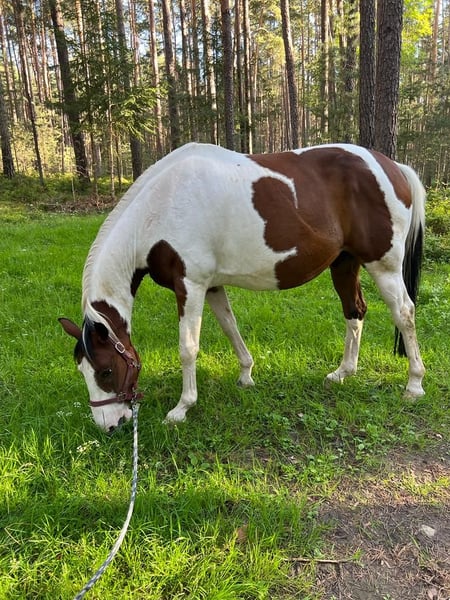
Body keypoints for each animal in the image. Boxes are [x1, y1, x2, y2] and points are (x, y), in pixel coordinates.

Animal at [59, 142, 426, 433]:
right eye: (81, 370)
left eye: (106, 370)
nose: (109, 426)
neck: (162, 207)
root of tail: (394, 168)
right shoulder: (211, 286)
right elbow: (230, 327)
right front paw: (246, 375)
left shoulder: (189, 285)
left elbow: (188, 348)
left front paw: (182, 408)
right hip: (345, 263)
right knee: (354, 311)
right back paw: (343, 373)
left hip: (384, 265)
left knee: (404, 313)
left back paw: (414, 384)